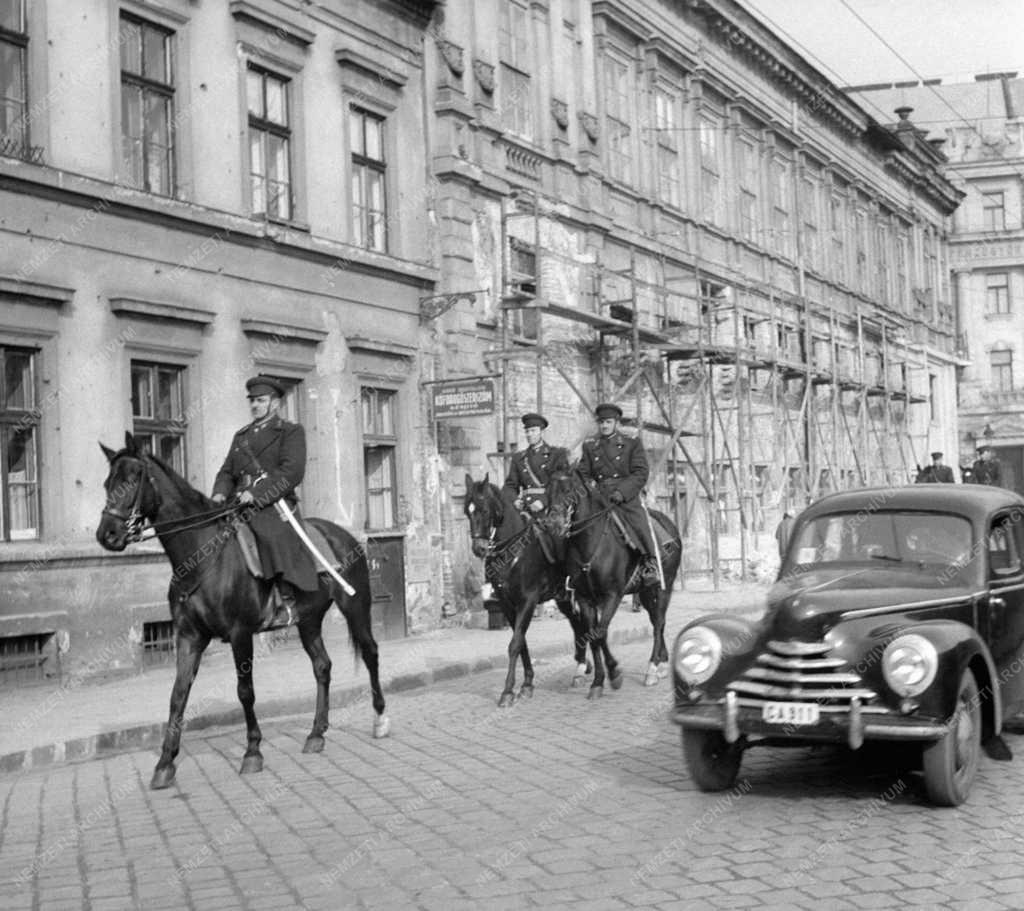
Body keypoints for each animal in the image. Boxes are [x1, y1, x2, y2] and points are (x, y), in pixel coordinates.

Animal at [94, 434, 389, 790]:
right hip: (309, 620)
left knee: (370, 652)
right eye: (108, 482)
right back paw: (316, 734)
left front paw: (252, 752)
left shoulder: (240, 634)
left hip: (355, 606)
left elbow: (245, 692)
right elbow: (178, 694)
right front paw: (165, 763)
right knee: (322, 666)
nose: (107, 535)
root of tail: (344, 534)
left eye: (134, 478)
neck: (202, 555)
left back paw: (380, 719)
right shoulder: (189, 636)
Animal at [464, 472, 593, 708]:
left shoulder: (528, 600)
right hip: (562, 598)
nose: (479, 548)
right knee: (577, 625)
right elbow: (521, 641)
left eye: (485, 510)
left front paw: (507, 691)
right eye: (467, 511)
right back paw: (582, 666)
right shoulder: (507, 603)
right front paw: (526, 684)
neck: (513, 551)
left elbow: (515, 643)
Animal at [548, 468, 684, 696]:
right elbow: (593, 636)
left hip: (664, 587)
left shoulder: (612, 595)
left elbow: (600, 633)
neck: (589, 543)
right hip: (645, 592)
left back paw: (652, 669)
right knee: (657, 621)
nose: (553, 523)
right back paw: (662, 663)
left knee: (658, 623)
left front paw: (613, 674)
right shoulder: (585, 598)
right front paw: (597, 681)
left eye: (568, 490)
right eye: (547, 491)